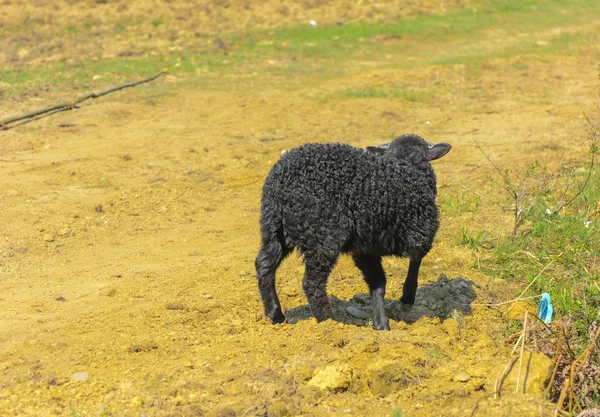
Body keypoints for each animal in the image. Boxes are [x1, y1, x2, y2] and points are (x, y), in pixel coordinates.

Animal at [253, 133, 450, 328]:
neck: (404, 164)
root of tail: (279, 187)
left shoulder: (365, 247)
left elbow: (378, 283)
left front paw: (381, 324)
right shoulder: (420, 233)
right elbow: (415, 261)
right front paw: (407, 297)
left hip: (273, 228)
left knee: (264, 265)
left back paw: (276, 315)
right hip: (324, 236)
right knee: (312, 282)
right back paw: (328, 322)